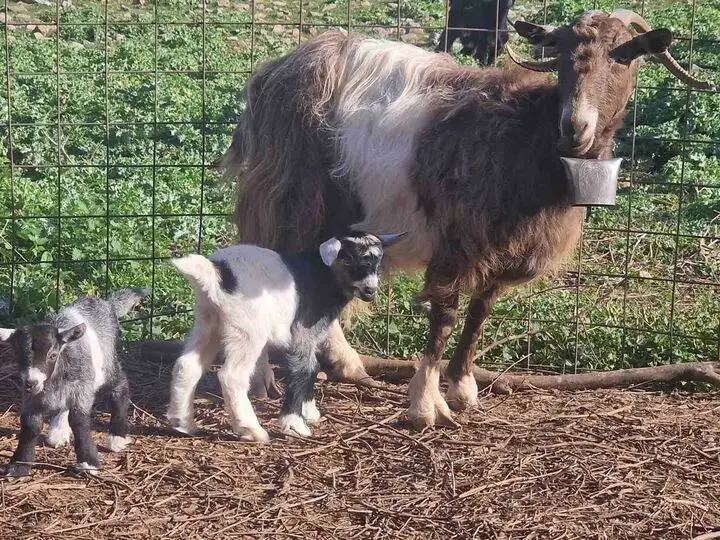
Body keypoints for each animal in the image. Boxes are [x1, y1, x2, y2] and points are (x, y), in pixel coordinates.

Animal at [222, 9, 712, 426]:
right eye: (562, 56)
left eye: (623, 55)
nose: (575, 127)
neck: (528, 136)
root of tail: (271, 73)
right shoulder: (455, 239)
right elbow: (444, 315)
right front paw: (425, 404)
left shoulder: (505, 247)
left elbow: (480, 311)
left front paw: (461, 386)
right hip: (288, 197)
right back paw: (262, 378)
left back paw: (345, 363)